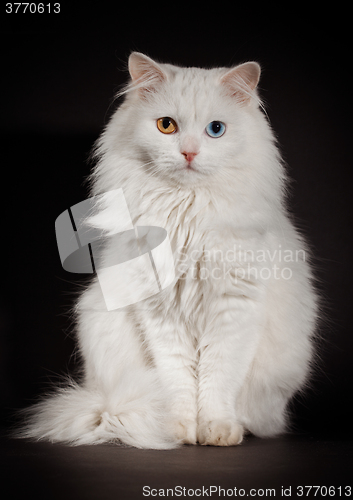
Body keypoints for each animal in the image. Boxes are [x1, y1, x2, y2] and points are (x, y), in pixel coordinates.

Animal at [17, 53, 318, 450]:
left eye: (216, 129)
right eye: (166, 126)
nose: (189, 152)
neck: (186, 217)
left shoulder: (234, 309)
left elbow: (217, 379)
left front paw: (217, 430)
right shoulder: (161, 314)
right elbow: (178, 381)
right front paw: (177, 429)